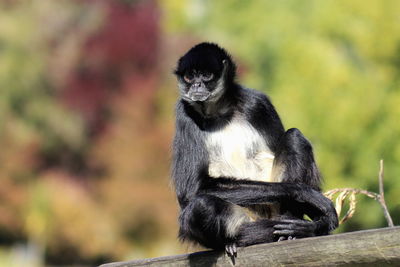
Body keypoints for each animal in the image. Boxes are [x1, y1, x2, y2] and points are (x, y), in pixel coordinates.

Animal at [172, 42, 338, 258]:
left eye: (206, 75)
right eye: (189, 77)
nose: (196, 86)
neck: (220, 112)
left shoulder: (258, 102)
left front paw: (321, 220)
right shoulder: (184, 112)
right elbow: (191, 193)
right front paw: (303, 192)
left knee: (293, 137)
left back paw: (291, 231)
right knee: (200, 206)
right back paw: (234, 240)